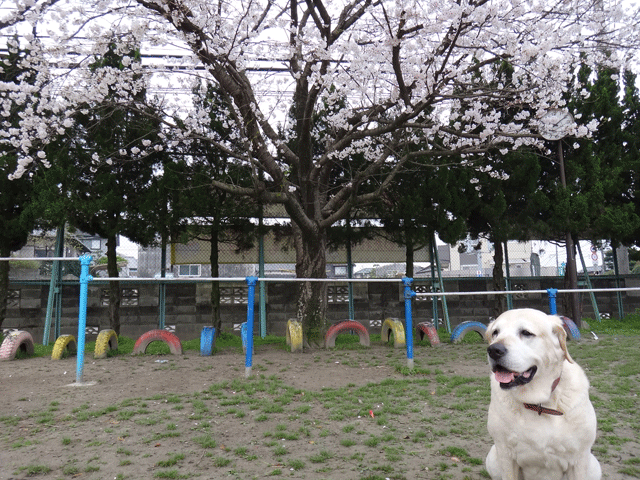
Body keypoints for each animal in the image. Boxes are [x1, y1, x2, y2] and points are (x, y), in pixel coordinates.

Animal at [484, 310, 600, 478]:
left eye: (526, 333)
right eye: (495, 332)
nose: (494, 350)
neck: (538, 402)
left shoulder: (579, 459)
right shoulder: (505, 454)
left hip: (594, 466)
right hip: (492, 457)